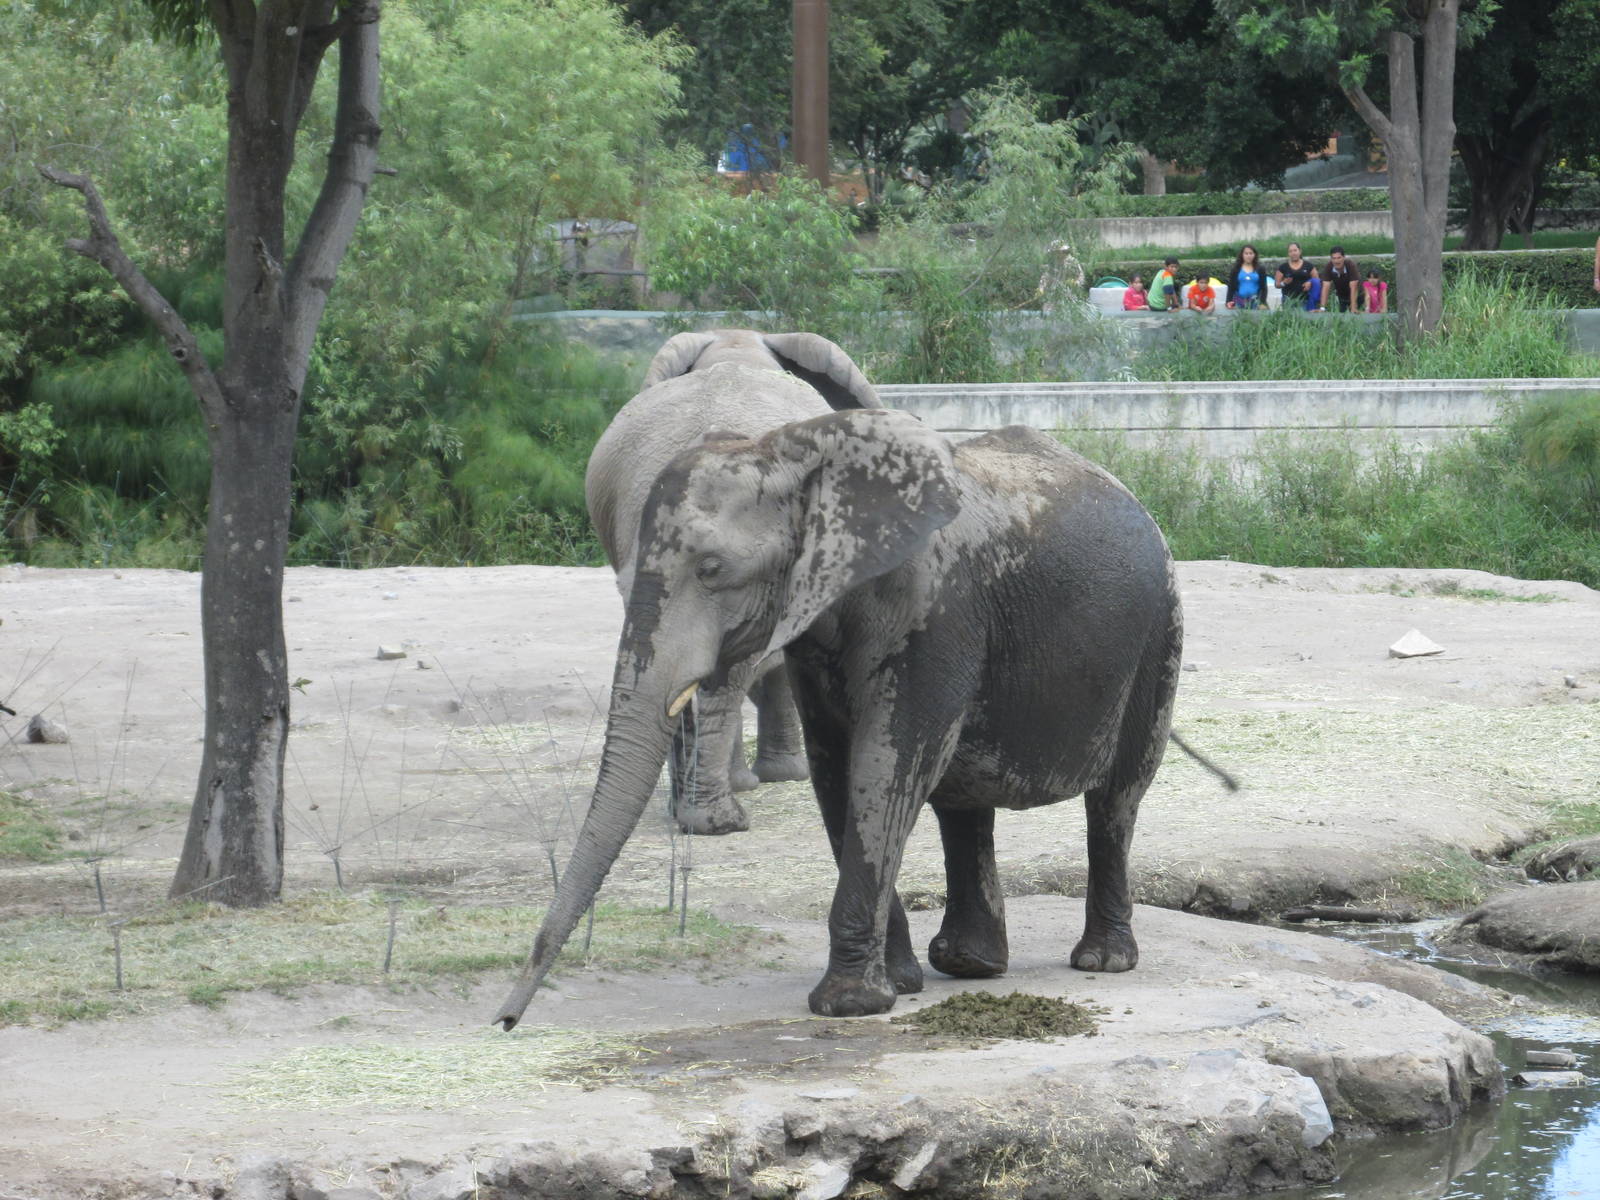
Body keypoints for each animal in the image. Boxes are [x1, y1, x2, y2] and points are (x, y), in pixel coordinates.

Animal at [496, 408, 1180, 1028]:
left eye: (712, 570)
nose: (505, 1021)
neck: (791, 453)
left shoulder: (935, 612)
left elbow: (886, 764)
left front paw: (849, 1006)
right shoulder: (815, 625)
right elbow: (836, 768)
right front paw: (898, 986)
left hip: (1158, 637)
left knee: (1116, 800)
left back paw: (1101, 962)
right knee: (962, 805)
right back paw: (969, 965)